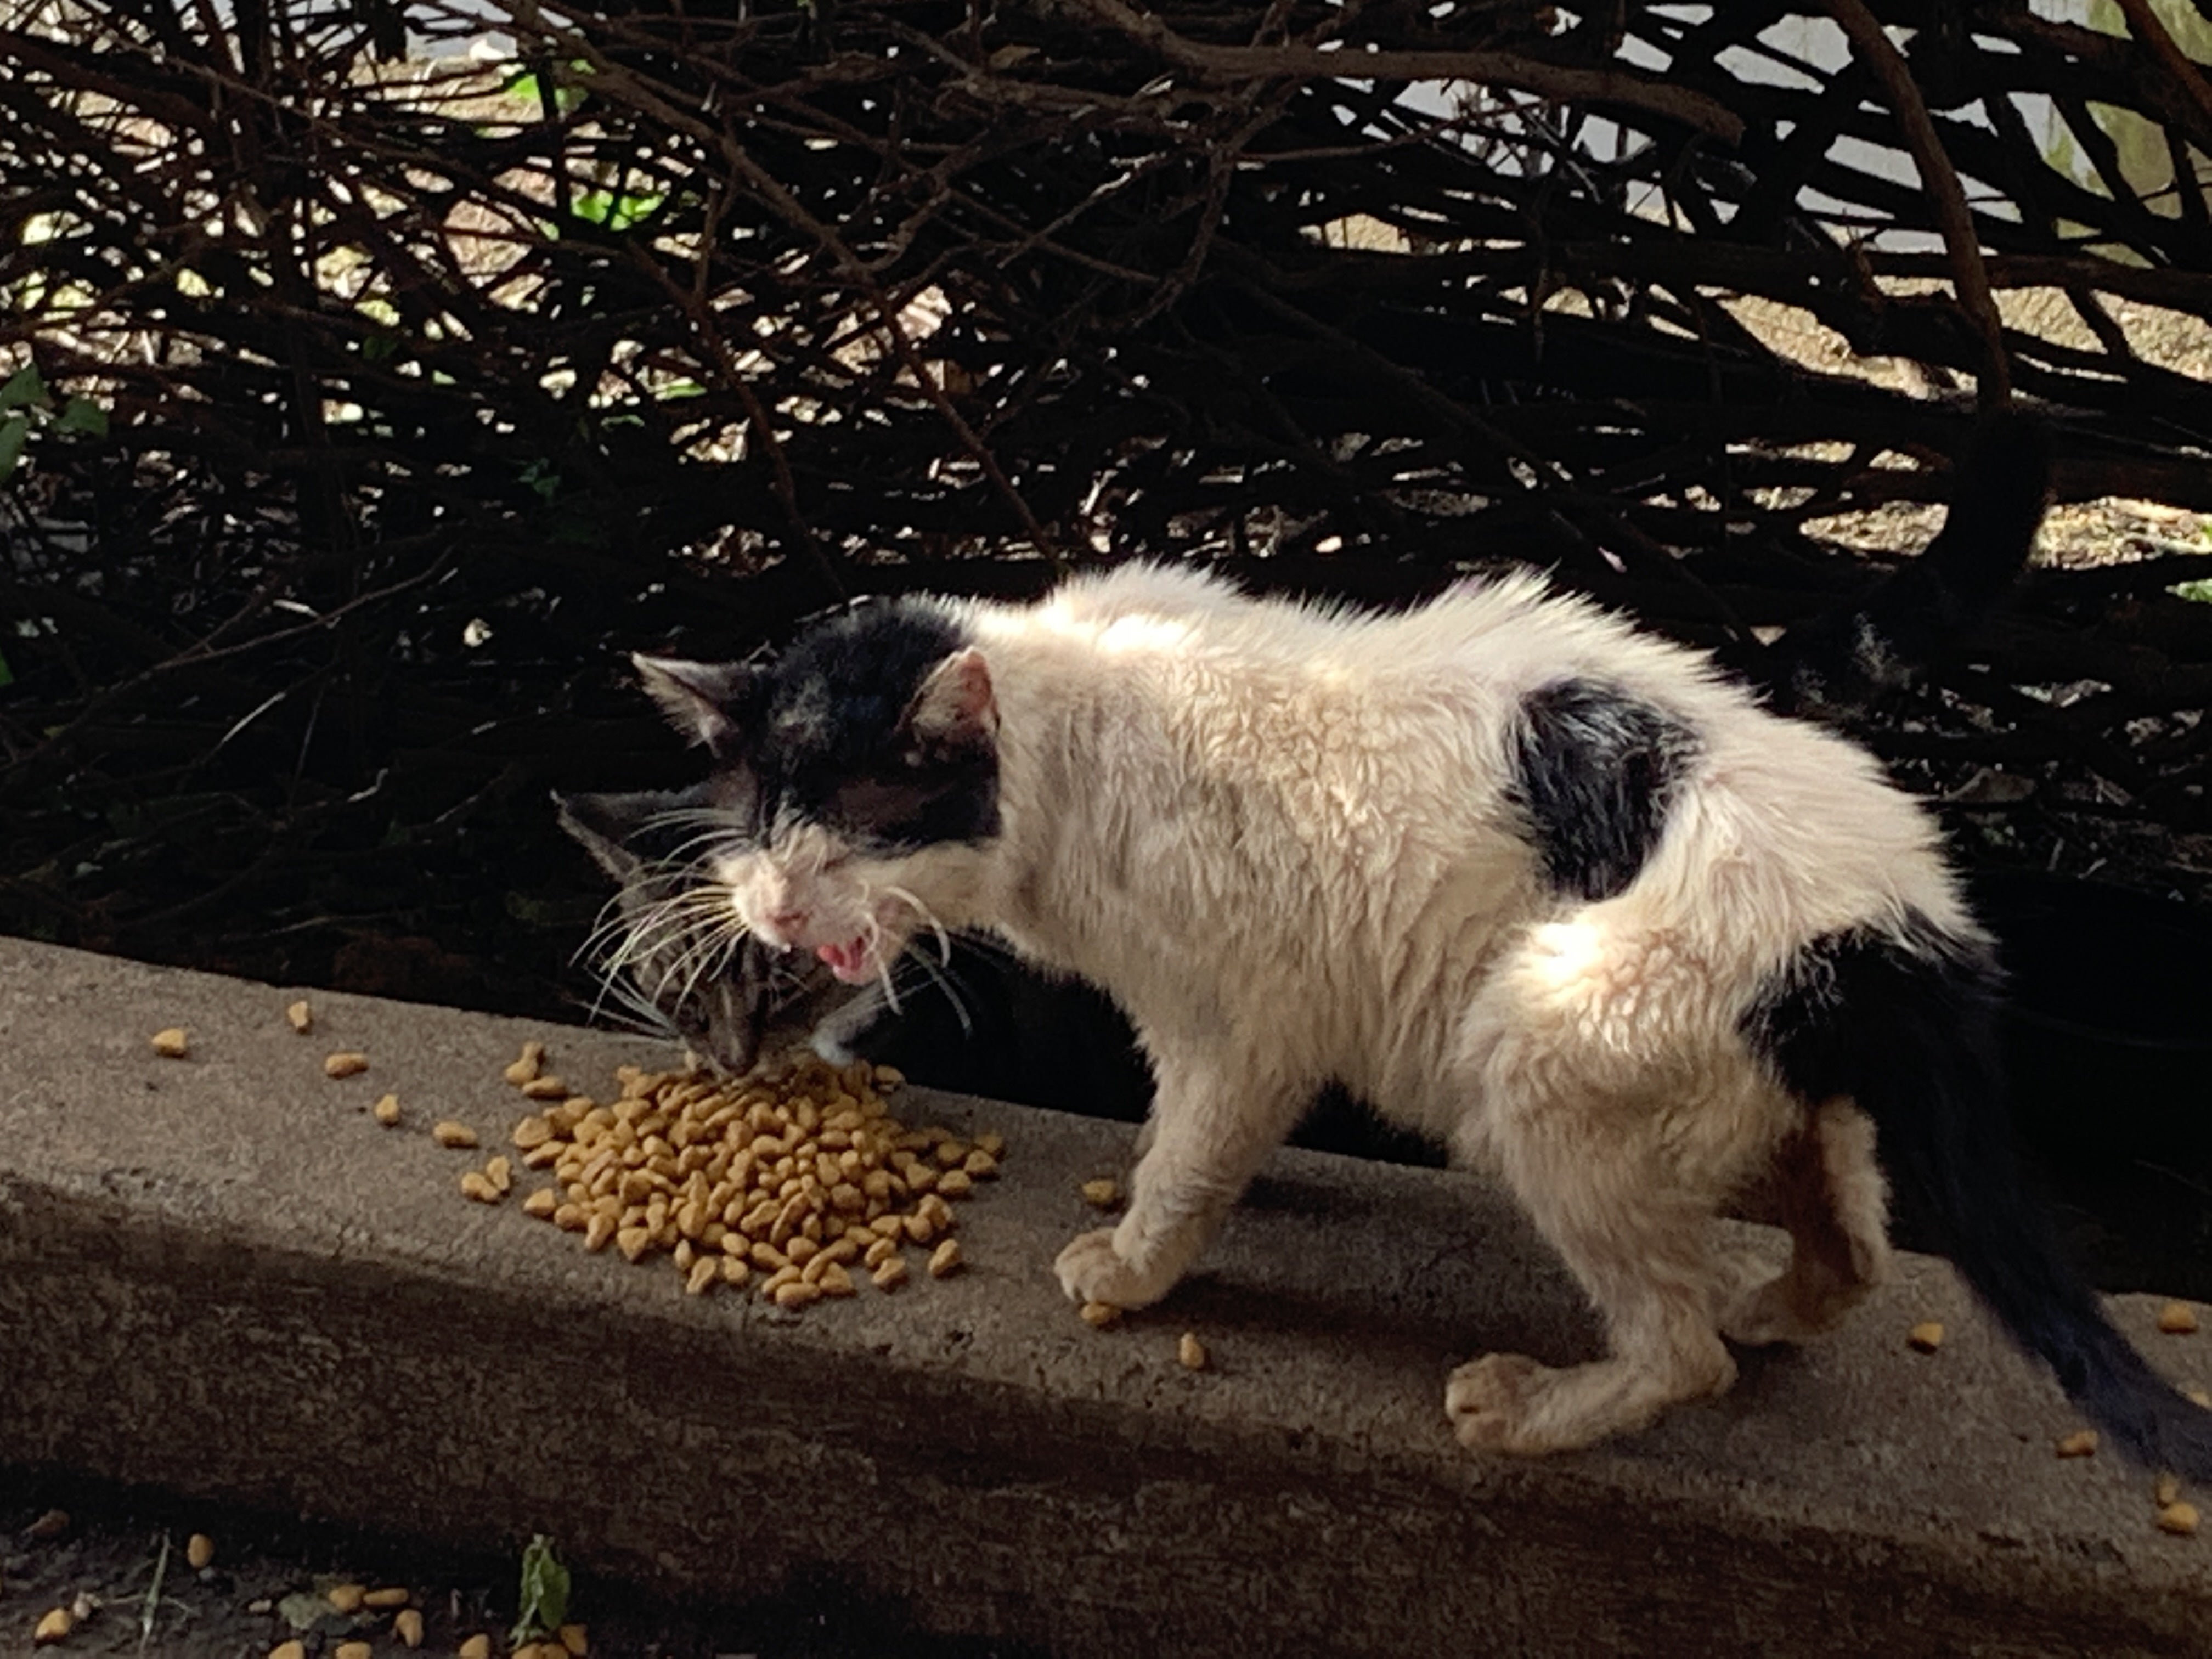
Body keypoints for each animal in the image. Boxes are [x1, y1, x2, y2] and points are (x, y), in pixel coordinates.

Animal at [627, 475, 2212, 1474]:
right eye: (757, 820)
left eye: (853, 824)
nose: (773, 899)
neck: (1076, 728)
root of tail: (1895, 919)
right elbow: (1200, 1143)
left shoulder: (1240, 1019)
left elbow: (1190, 1154)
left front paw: (1133, 1266)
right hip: (1737, 1098)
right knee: (1854, 1254)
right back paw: (1767, 1308)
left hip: (1540, 1056)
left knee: (1680, 1350)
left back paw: (1539, 1406)